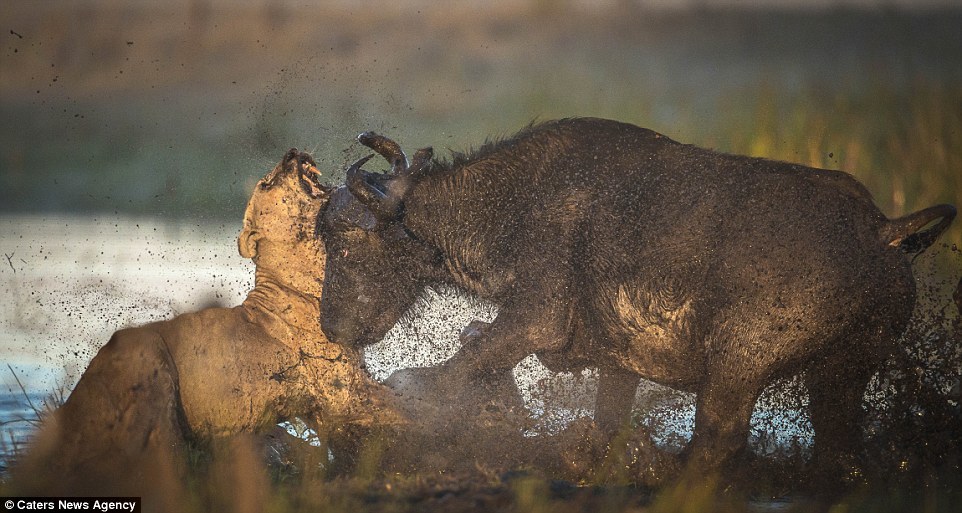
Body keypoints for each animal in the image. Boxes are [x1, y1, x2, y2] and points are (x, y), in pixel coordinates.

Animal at [316, 118, 952, 486]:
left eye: (343, 242)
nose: (330, 327)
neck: (511, 203)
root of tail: (879, 231)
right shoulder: (616, 362)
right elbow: (606, 421)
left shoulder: (534, 318)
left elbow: (462, 363)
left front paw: (411, 388)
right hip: (844, 371)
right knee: (839, 449)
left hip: (738, 365)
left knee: (717, 442)